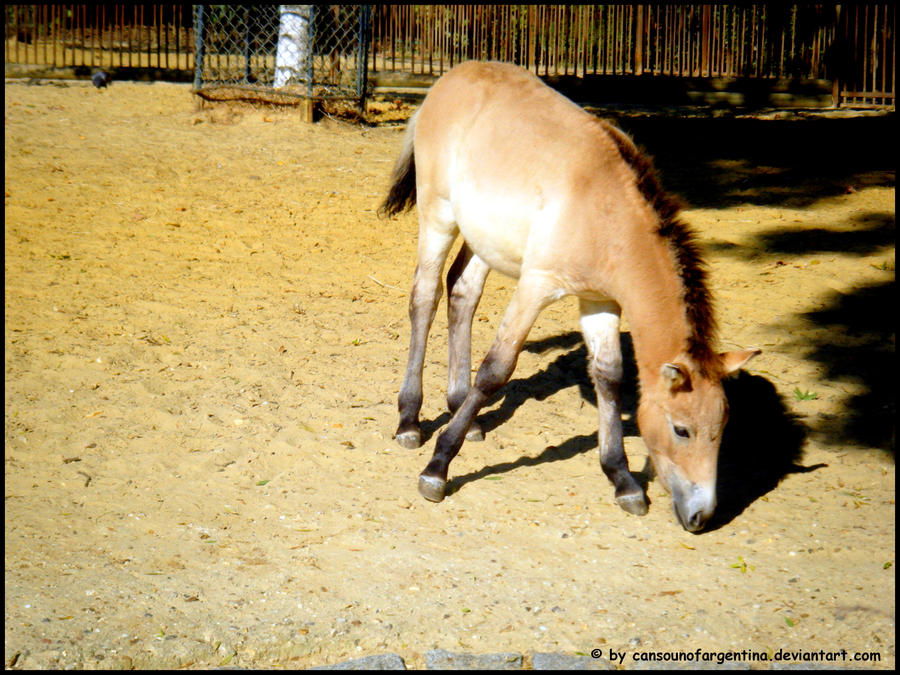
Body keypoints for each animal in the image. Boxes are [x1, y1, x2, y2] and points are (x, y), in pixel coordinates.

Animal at [380, 60, 760, 532]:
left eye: (721, 429)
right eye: (681, 429)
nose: (700, 515)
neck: (607, 215)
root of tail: (446, 81)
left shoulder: (600, 303)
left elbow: (610, 377)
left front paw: (623, 480)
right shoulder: (536, 285)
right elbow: (496, 370)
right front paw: (438, 468)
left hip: (485, 240)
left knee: (461, 295)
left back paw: (462, 412)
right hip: (438, 218)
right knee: (425, 298)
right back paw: (410, 421)